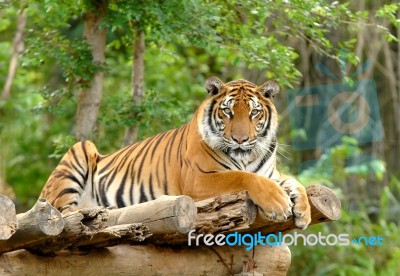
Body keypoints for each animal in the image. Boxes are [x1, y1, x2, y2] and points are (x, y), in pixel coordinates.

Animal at [39, 75, 310, 229]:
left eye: (254, 112)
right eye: (228, 111)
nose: (240, 139)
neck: (247, 156)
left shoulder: (272, 175)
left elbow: (295, 183)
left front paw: (304, 211)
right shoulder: (199, 179)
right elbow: (242, 177)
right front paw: (278, 204)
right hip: (80, 152)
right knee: (67, 213)